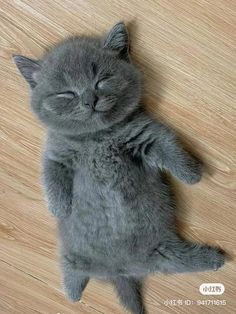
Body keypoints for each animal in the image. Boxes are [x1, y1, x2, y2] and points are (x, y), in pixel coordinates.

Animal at [14, 22, 225, 314]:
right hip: (71, 255)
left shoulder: (146, 133)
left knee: (177, 262)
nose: (89, 100)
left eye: (101, 80)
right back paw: (72, 294)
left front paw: (192, 174)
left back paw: (213, 258)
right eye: (66, 93)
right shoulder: (55, 154)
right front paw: (60, 209)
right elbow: (52, 177)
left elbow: (169, 147)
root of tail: (120, 271)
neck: (98, 138)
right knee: (71, 270)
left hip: (163, 249)